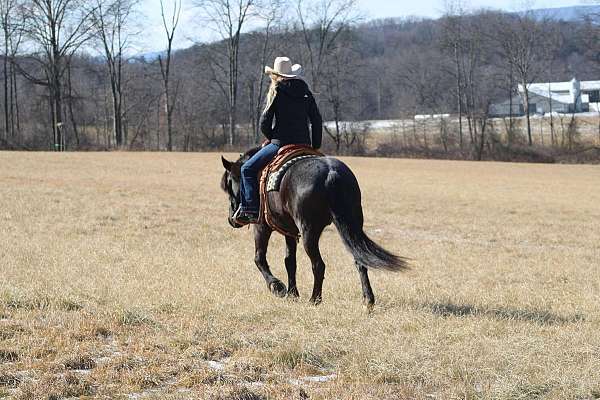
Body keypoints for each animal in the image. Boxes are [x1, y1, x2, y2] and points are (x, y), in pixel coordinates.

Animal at [220, 147, 408, 306]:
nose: (231, 219)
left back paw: (314, 299)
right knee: (359, 260)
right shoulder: (290, 232)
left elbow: (259, 258)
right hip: (352, 225)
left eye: (228, 185)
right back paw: (367, 300)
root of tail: (331, 173)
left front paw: (278, 287)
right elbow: (290, 261)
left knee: (318, 264)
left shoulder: (261, 227)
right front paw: (292, 294)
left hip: (309, 231)